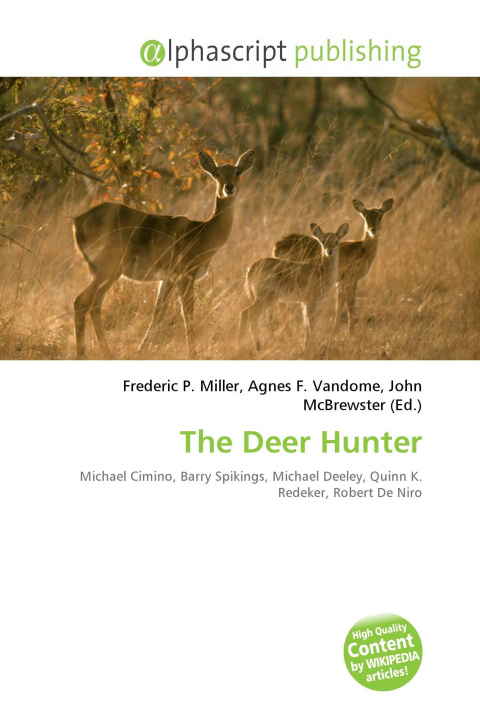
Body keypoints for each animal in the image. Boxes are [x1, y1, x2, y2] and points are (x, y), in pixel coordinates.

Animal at [73, 149, 255, 359]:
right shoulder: (186, 275)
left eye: (237, 172)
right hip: (108, 269)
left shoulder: (167, 278)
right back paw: (84, 354)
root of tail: (80, 220)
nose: (229, 187)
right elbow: (187, 314)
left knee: (94, 305)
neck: (204, 232)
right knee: (81, 302)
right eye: (217, 173)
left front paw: (141, 350)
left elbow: (157, 313)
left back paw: (108, 353)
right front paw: (192, 354)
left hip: (103, 272)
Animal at [238, 223, 349, 354]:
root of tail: (250, 269)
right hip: (267, 297)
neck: (322, 270)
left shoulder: (305, 302)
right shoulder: (311, 301)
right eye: (323, 241)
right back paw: (247, 346)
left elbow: (306, 323)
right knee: (247, 313)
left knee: (250, 315)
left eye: (336, 241)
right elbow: (311, 324)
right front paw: (308, 348)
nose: (330, 251)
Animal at [273, 198, 394, 332]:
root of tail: (277, 245)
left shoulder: (340, 282)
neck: (362, 249)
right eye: (366, 217)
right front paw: (350, 332)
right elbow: (350, 303)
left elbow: (339, 304)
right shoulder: (351, 278)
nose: (373, 230)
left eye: (380, 216)